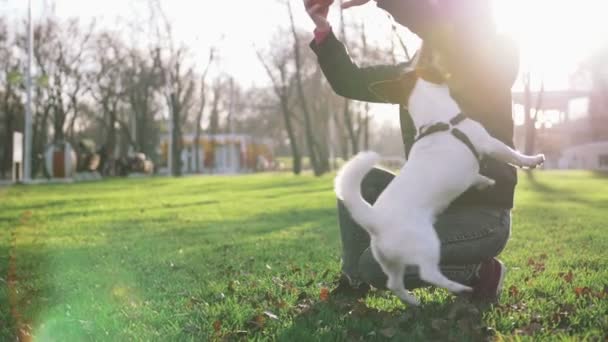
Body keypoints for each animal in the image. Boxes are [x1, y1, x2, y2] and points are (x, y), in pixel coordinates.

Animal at [334, 65, 544, 306]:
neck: (440, 120)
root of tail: (375, 221)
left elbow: (476, 176)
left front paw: (485, 181)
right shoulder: (490, 143)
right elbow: (513, 155)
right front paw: (532, 160)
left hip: (389, 262)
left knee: (394, 283)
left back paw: (413, 302)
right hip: (429, 244)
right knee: (428, 273)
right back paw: (460, 288)